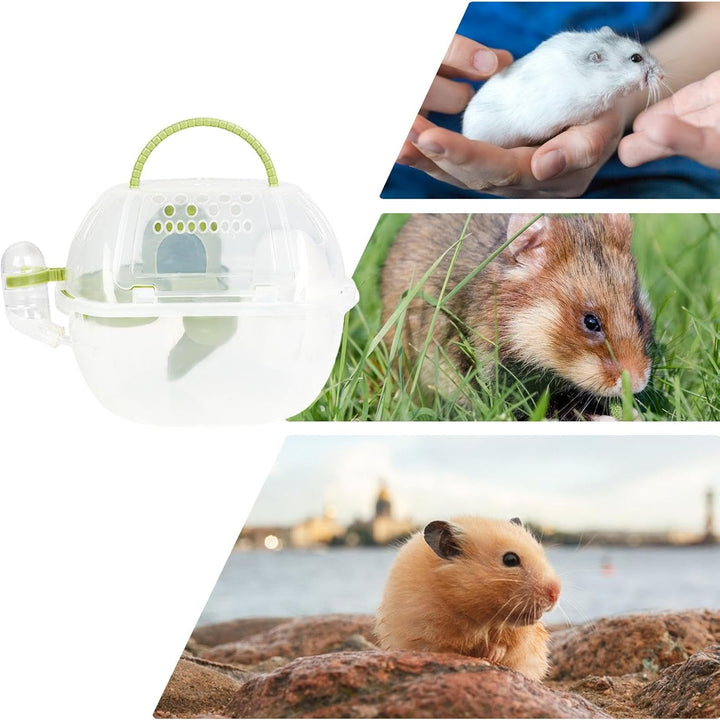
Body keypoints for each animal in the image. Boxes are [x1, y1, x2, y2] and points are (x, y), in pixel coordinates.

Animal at [375, 516, 561, 681]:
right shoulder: (426, 633)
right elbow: (446, 649)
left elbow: (507, 645)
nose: (555, 593)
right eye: (510, 559)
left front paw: (492, 655)